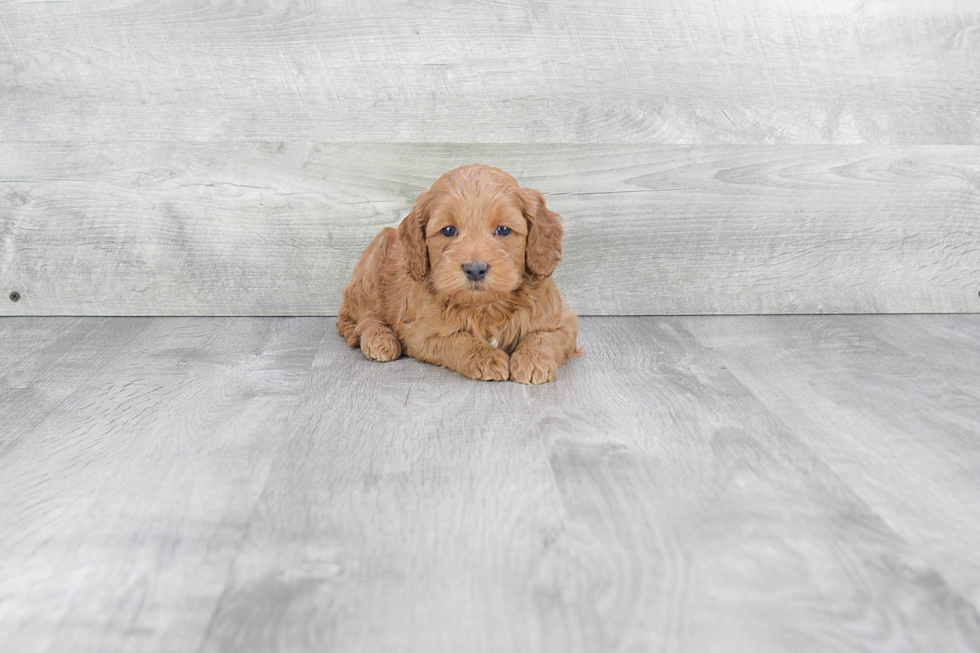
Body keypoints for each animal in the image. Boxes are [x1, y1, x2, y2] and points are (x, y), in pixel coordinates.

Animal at [338, 163, 580, 384]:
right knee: (362, 318)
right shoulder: (419, 333)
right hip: (374, 257)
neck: (485, 307)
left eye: (503, 230)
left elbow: (544, 336)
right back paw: (379, 339)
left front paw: (533, 360)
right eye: (448, 230)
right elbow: (458, 339)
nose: (475, 269)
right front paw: (486, 356)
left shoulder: (563, 322)